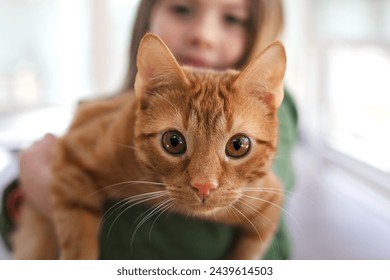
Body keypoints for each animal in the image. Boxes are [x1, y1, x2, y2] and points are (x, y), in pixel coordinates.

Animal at [11, 34, 286, 260]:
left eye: (238, 145)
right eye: (173, 142)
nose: (204, 186)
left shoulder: (269, 202)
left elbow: (249, 252)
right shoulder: (72, 155)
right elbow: (79, 241)